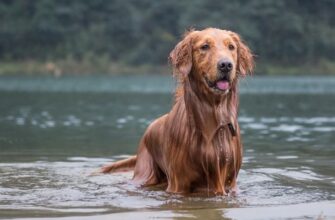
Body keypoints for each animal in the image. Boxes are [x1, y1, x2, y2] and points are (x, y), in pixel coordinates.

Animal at [100, 27, 255, 194]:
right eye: (205, 46)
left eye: (231, 47)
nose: (226, 65)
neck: (213, 119)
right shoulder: (178, 182)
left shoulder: (230, 182)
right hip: (145, 173)